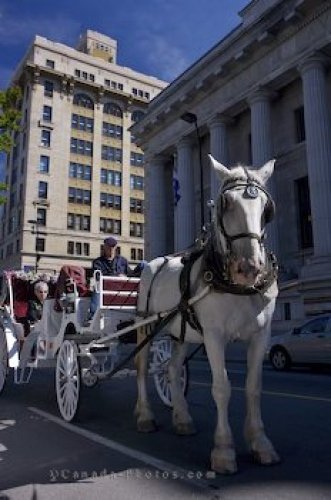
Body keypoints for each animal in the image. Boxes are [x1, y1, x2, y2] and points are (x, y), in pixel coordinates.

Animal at [135, 154, 280, 474]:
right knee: (140, 369)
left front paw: (260, 443)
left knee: (172, 369)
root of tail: (155, 261)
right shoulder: (214, 337)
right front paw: (224, 450)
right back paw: (145, 416)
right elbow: (222, 387)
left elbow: (253, 387)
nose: (248, 267)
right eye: (224, 203)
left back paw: (182, 419)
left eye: (266, 209)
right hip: (146, 327)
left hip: (180, 334)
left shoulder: (260, 335)